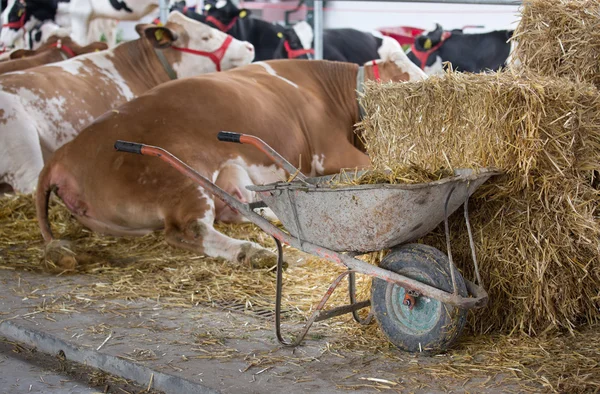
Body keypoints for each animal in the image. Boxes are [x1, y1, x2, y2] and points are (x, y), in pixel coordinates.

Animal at [36, 53, 426, 270]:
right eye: (410, 82)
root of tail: (65, 152)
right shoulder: (331, 152)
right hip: (179, 176)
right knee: (189, 230)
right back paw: (251, 252)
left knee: (235, 208)